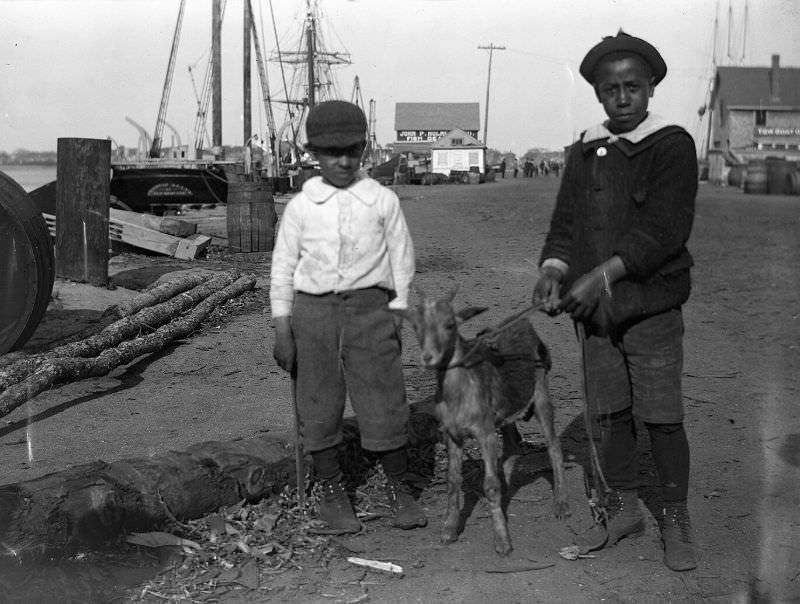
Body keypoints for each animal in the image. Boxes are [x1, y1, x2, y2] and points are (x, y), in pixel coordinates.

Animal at [394, 292, 568, 556]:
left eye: (451, 325)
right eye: (416, 327)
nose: (429, 357)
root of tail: (524, 323)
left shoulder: (485, 433)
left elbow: (490, 484)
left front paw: (502, 541)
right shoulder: (452, 435)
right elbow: (453, 481)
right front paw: (449, 530)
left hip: (540, 393)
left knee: (554, 446)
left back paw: (559, 503)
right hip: (506, 410)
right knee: (513, 444)